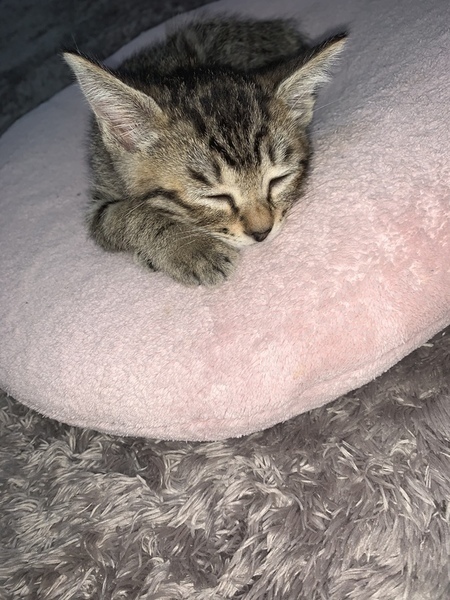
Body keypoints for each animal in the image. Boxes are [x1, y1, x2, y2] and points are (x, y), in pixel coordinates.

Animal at [64, 16, 346, 286]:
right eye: (215, 197)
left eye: (278, 179)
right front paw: (192, 248)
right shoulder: (101, 194)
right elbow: (129, 214)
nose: (261, 233)